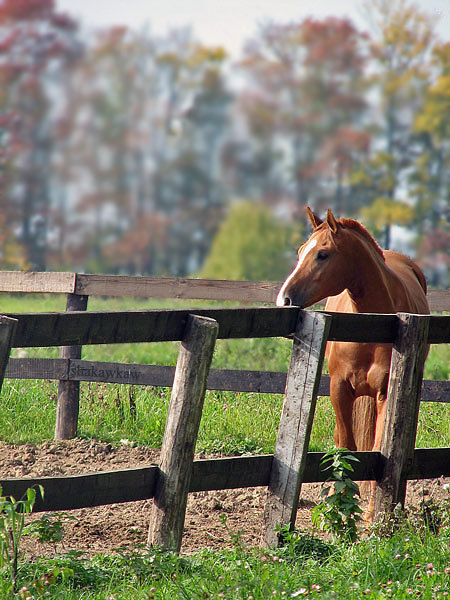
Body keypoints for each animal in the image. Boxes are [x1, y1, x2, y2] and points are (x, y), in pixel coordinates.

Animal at [278, 209, 428, 512]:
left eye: (322, 254)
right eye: (300, 251)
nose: (284, 299)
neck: (373, 324)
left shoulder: (385, 394)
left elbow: (378, 452)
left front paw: (370, 516)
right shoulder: (339, 390)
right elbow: (346, 450)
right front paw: (341, 509)